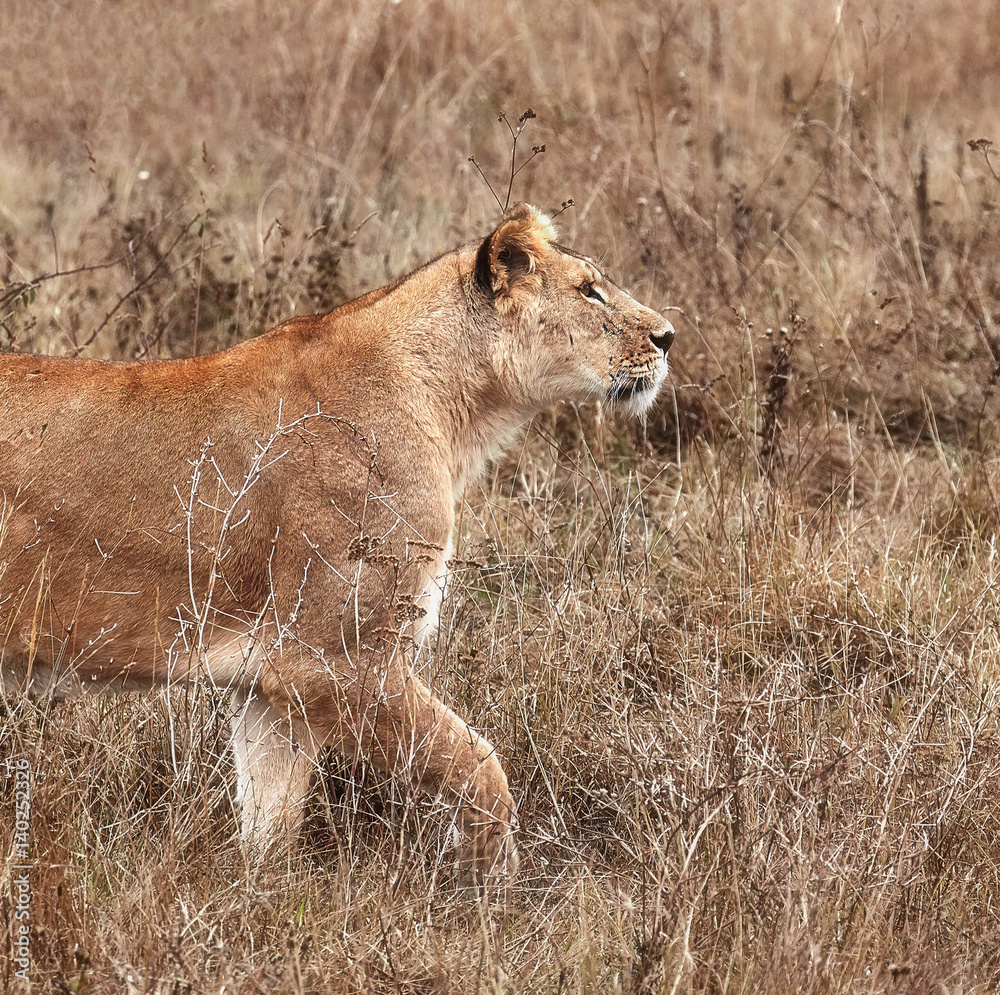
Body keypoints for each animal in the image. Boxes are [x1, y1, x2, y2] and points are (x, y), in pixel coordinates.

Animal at [0, 203, 673, 884]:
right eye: (588, 290)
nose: (668, 337)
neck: (452, 406)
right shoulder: (335, 661)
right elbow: (479, 763)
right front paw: (493, 885)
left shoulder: (271, 689)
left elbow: (270, 824)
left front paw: (260, 899)